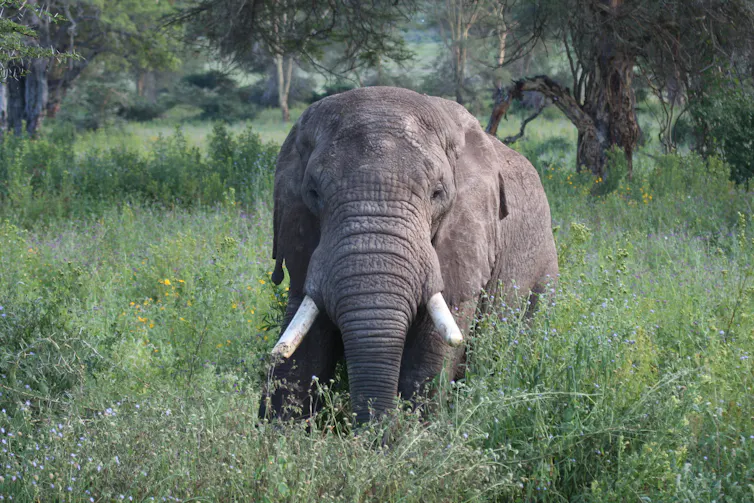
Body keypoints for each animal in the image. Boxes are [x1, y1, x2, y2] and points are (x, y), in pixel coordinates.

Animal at [259, 87, 558, 424]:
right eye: (313, 194)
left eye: (437, 194)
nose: (372, 433)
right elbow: (302, 345)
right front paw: (277, 431)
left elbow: (430, 350)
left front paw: (415, 433)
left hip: (544, 272)